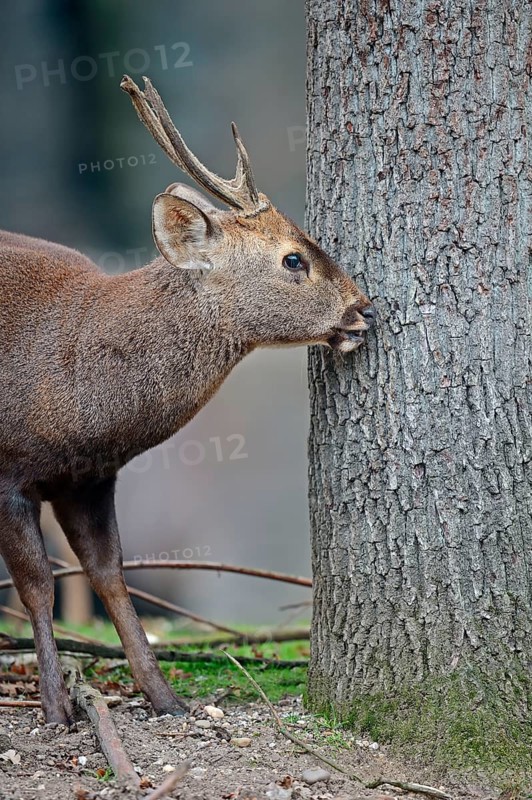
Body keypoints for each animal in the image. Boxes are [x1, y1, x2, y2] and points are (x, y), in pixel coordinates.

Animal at [0, 75, 375, 725]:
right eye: (293, 258)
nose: (365, 310)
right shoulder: (8, 472)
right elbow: (38, 586)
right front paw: (55, 708)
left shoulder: (89, 479)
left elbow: (110, 576)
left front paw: (167, 699)